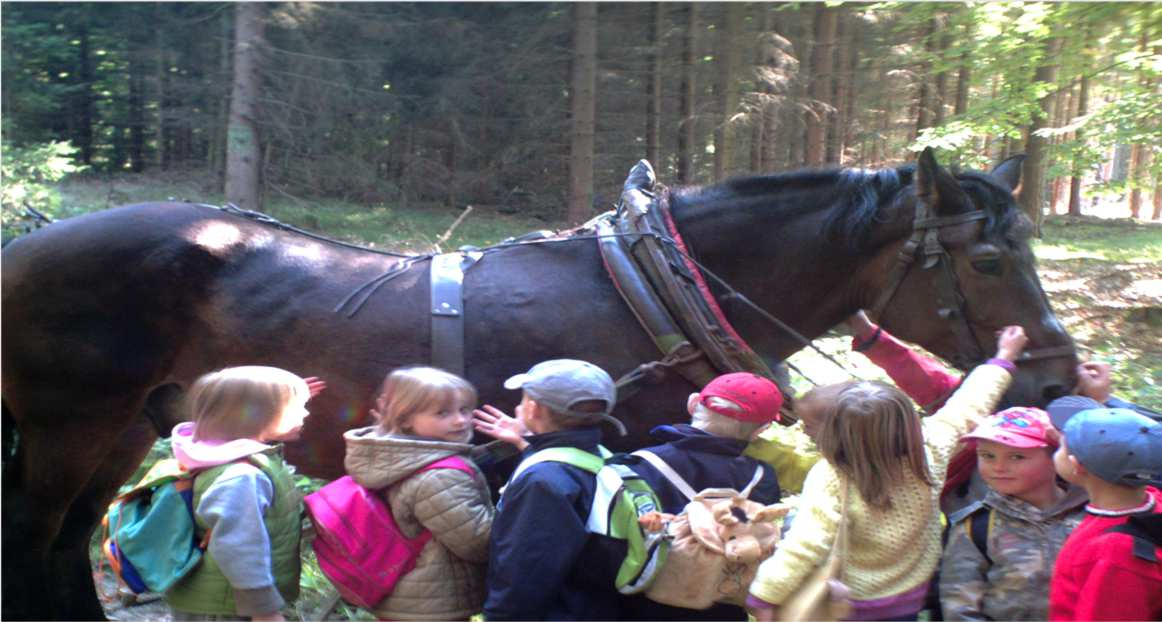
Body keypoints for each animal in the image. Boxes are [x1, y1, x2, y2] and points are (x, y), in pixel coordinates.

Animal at [0, 149, 1073, 618]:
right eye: (986, 260)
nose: (1055, 369)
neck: (655, 286)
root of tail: (23, 246)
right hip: (68, 425)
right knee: (34, 540)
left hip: (123, 428)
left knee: (62, 543)